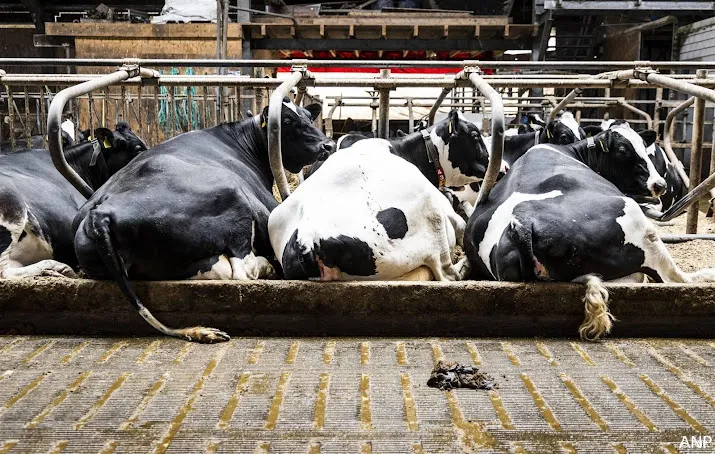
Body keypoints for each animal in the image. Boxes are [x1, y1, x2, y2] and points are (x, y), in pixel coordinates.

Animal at [72, 98, 332, 340]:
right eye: (287, 121)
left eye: (309, 116)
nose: (327, 145)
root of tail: (99, 214)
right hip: (234, 197)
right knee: (243, 270)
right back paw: (266, 267)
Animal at [268, 109, 492, 280]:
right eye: (475, 135)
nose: (497, 164)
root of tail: (305, 240)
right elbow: (461, 224)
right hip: (431, 219)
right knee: (448, 273)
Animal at [464, 121, 715, 340]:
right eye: (623, 150)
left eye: (644, 146)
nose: (659, 185)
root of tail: (522, 225)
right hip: (638, 223)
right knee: (675, 277)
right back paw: (707, 274)